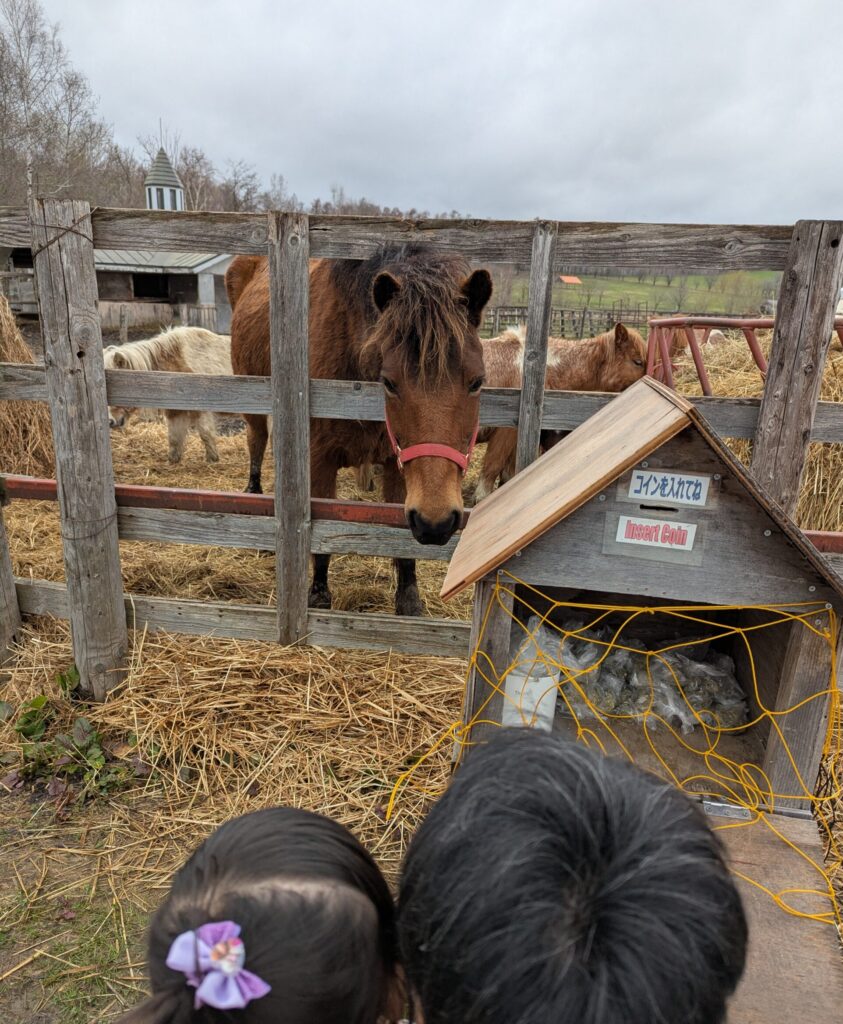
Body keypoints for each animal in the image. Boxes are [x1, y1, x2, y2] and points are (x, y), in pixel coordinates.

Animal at [104, 327, 232, 464]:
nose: (110, 421)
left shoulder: (201, 410)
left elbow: (206, 434)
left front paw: (212, 460)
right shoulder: (175, 412)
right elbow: (174, 438)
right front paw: (173, 461)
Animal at [226, 245, 492, 616]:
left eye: (477, 381)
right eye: (389, 382)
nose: (436, 522)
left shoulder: (398, 467)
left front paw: (408, 598)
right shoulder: (319, 462)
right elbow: (320, 538)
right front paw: (318, 594)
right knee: (257, 443)